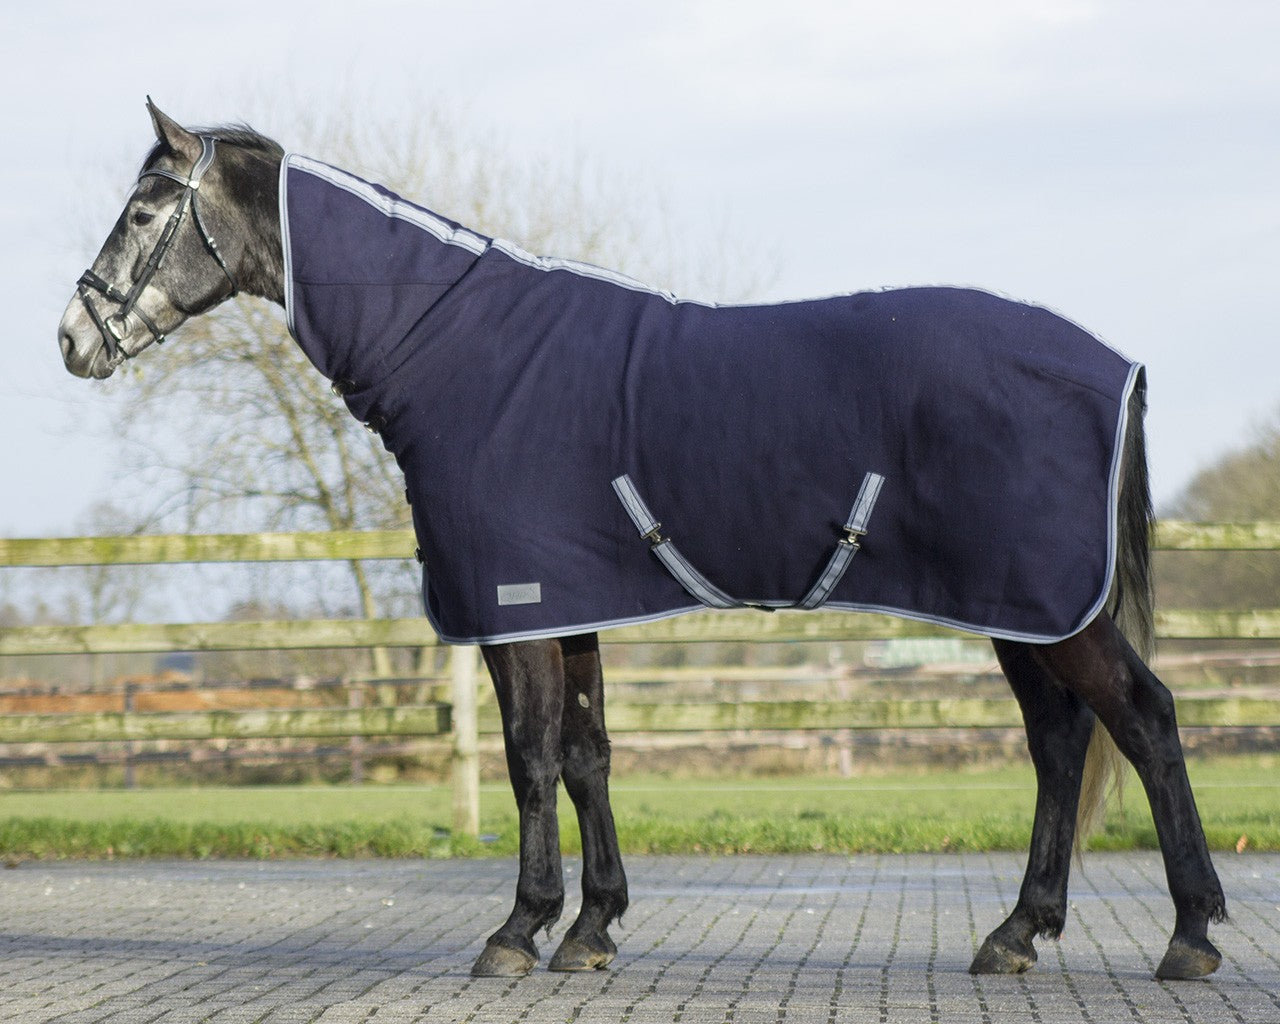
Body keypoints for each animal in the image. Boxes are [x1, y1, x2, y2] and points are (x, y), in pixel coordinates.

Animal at [57, 101, 1226, 982]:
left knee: (1144, 719)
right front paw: (591, 927)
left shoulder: (516, 608)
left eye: (145, 208)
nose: (73, 339)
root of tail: (1111, 364)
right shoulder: (572, 604)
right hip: (1013, 609)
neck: (457, 344)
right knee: (1060, 742)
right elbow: (587, 756)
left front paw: (517, 930)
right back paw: (1016, 932)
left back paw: (1190, 935)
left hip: (1039, 606)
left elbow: (530, 758)